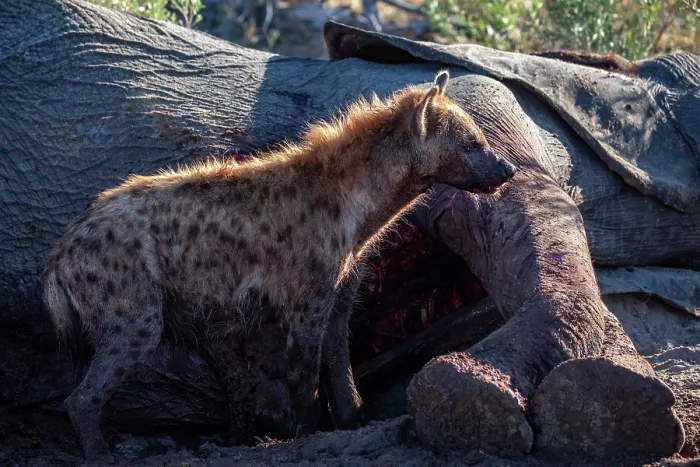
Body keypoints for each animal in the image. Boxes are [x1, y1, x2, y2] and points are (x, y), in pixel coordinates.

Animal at [1, 0, 698, 464]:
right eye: (472, 143)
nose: (505, 170)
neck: (362, 204)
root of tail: (64, 246)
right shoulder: (302, 292)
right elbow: (303, 367)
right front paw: (307, 432)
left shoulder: (339, 288)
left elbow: (338, 357)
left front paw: (348, 418)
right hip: (132, 307)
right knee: (87, 390)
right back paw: (102, 451)